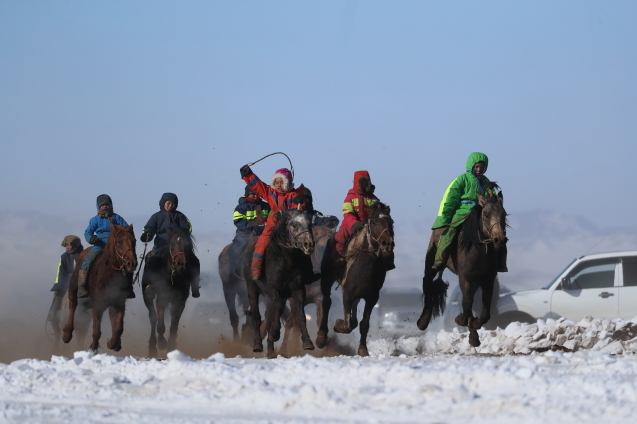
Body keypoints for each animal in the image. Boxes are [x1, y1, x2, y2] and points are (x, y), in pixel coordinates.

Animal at [63, 224, 137, 352]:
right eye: (119, 241)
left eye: (134, 241)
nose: (131, 263)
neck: (110, 274)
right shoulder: (98, 305)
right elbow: (96, 331)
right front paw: (93, 347)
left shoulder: (119, 303)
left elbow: (118, 327)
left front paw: (113, 343)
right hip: (73, 287)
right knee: (73, 304)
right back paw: (67, 334)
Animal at [142, 227, 200, 356]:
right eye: (172, 244)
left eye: (188, 244)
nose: (180, 264)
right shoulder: (161, 298)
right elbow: (160, 324)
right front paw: (162, 343)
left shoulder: (180, 301)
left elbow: (174, 325)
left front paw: (172, 346)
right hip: (147, 296)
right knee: (153, 317)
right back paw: (152, 347)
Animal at [243, 208, 316, 358]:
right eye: (293, 225)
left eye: (310, 224)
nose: (309, 245)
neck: (286, 260)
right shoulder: (274, 290)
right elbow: (276, 311)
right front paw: (275, 333)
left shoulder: (298, 290)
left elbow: (300, 315)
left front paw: (307, 342)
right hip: (252, 287)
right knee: (257, 317)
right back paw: (258, 344)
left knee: (270, 315)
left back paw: (271, 351)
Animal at [316, 204, 396, 356]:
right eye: (375, 222)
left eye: (391, 222)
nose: (387, 243)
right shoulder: (347, 294)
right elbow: (348, 325)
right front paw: (338, 325)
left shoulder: (372, 298)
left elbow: (363, 324)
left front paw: (363, 349)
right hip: (327, 281)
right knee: (326, 302)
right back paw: (321, 338)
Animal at [418, 184, 506, 346]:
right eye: (486, 215)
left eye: (504, 214)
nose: (499, 239)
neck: (477, 250)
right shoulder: (465, 278)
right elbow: (466, 304)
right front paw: (461, 319)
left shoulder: (487, 280)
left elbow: (485, 311)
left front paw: (475, 328)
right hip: (431, 261)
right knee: (427, 282)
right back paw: (422, 322)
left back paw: (474, 337)